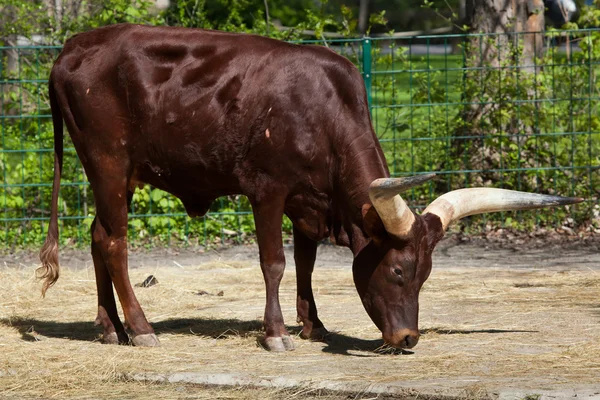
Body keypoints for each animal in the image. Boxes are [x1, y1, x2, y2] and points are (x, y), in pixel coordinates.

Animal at [37, 24, 580, 350]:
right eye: (399, 271)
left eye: (425, 275)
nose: (409, 338)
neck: (323, 110)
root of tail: (70, 49)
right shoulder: (267, 191)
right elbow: (274, 263)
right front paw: (277, 333)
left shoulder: (308, 201)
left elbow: (306, 262)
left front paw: (313, 323)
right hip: (109, 163)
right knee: (115, 243)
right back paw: (142, 329)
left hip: (118, 176)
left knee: (97, 237)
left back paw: (109, 328)